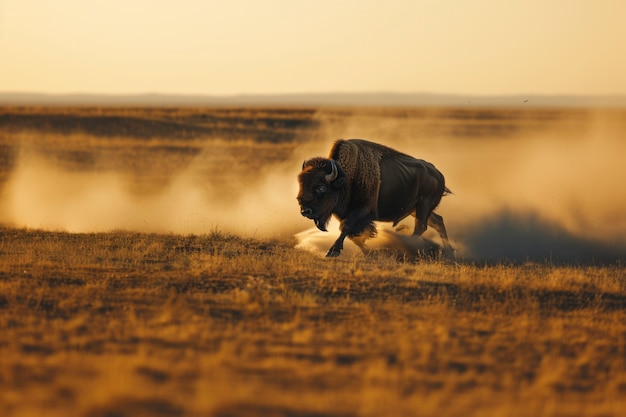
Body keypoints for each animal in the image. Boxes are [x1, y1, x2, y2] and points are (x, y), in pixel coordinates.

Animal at [294, 140, 450, 256]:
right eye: (301, 184)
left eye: (321, 187)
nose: (305, 211)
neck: (346, 178)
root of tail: (439, 174)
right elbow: (354, 235)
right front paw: (368, 252)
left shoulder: (363, 211)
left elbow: (346, 228)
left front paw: (333, 251)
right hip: (416, 209)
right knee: (437, 221)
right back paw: (449, 252)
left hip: (424, 205)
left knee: (421, 226)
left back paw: (406, 245)